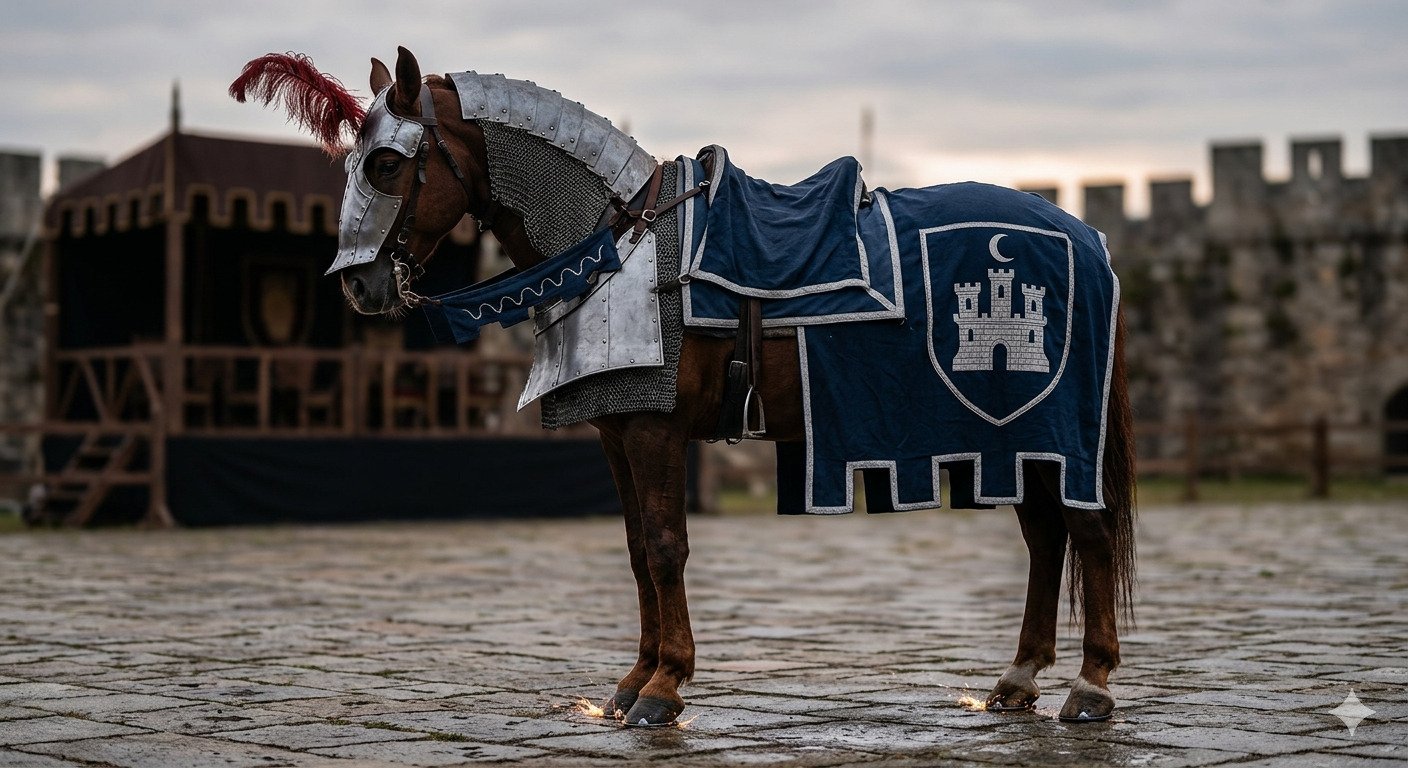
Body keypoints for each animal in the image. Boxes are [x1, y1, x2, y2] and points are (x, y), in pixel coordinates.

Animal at [231, 47, 1136, 727]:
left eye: (387, 163)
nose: (358, 286)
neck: (619, 243)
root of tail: (1086, 238)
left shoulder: (655, 428)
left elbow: (667, 546)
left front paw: (665, 688)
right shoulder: (618, 431)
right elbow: (638, 551)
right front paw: (632, 681)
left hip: (1047, 426)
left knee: (1085, 533)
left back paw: (1090, 685)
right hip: (1011, 436)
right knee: (1045, 538)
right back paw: (1018, 679)